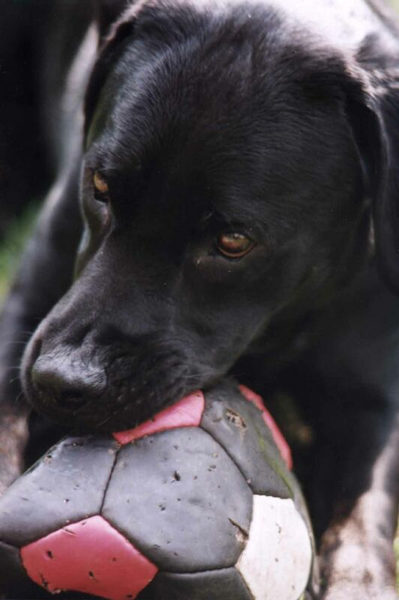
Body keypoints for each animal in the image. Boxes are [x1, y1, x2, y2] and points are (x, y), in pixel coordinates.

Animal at [0, 0, 399, 596]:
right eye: (100, 187)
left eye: (233, 241)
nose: (62, 380)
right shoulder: (26, 318)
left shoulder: (374, 398)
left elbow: (363, 507)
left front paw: (359, 581)